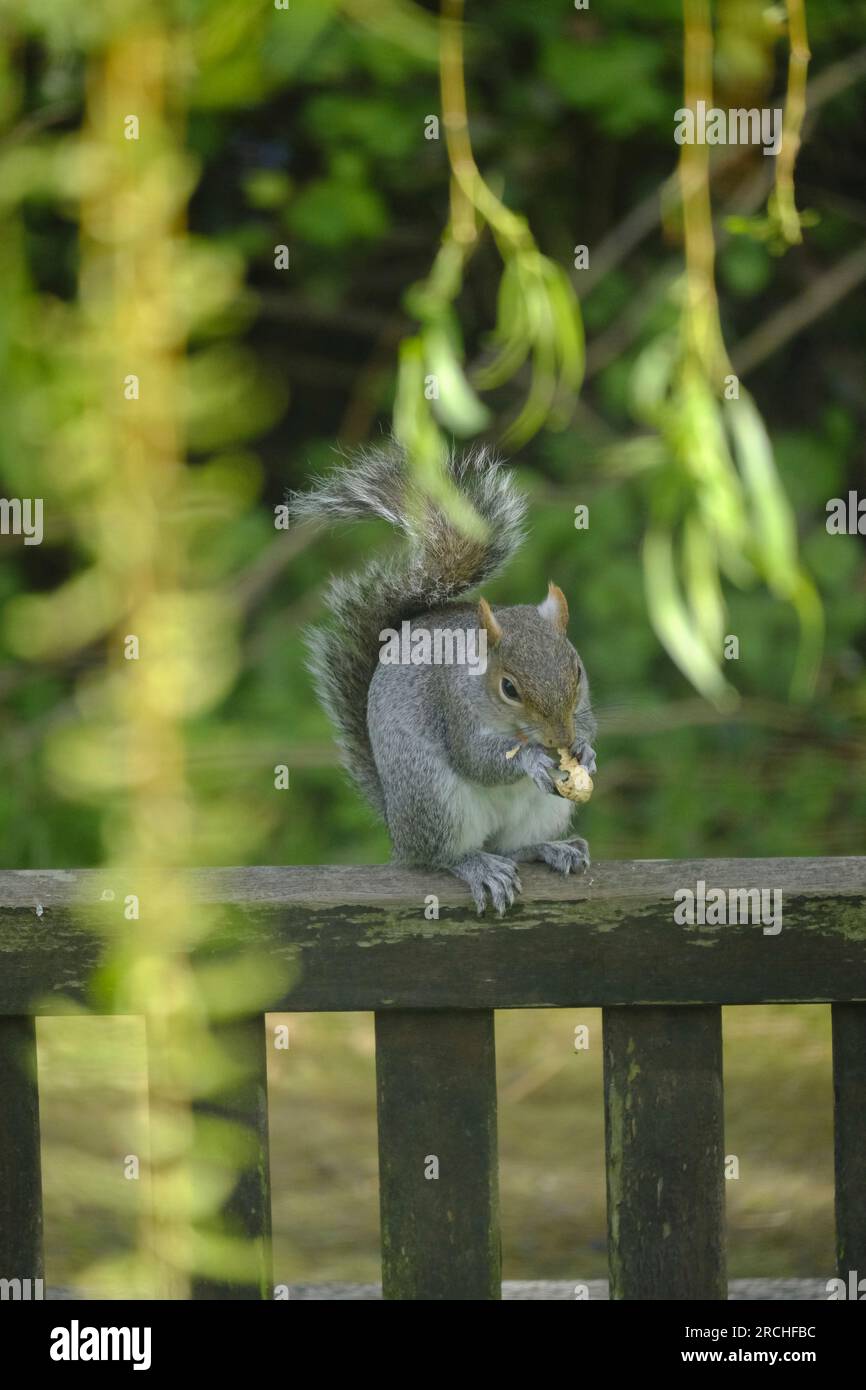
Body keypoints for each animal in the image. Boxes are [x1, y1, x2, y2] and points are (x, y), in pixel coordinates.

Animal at [291, 441, 597, 914]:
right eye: (509, 688)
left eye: (577, 670)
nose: (560, 740)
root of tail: (398, 832)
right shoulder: (455, 709)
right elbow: (476, 758)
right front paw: (529, 759)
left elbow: (589, 723)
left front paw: (585, 749)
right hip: (434, 797)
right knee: (442, 857)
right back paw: (478, 866)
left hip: (542, 810)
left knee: (512, 847)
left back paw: (552, 848)